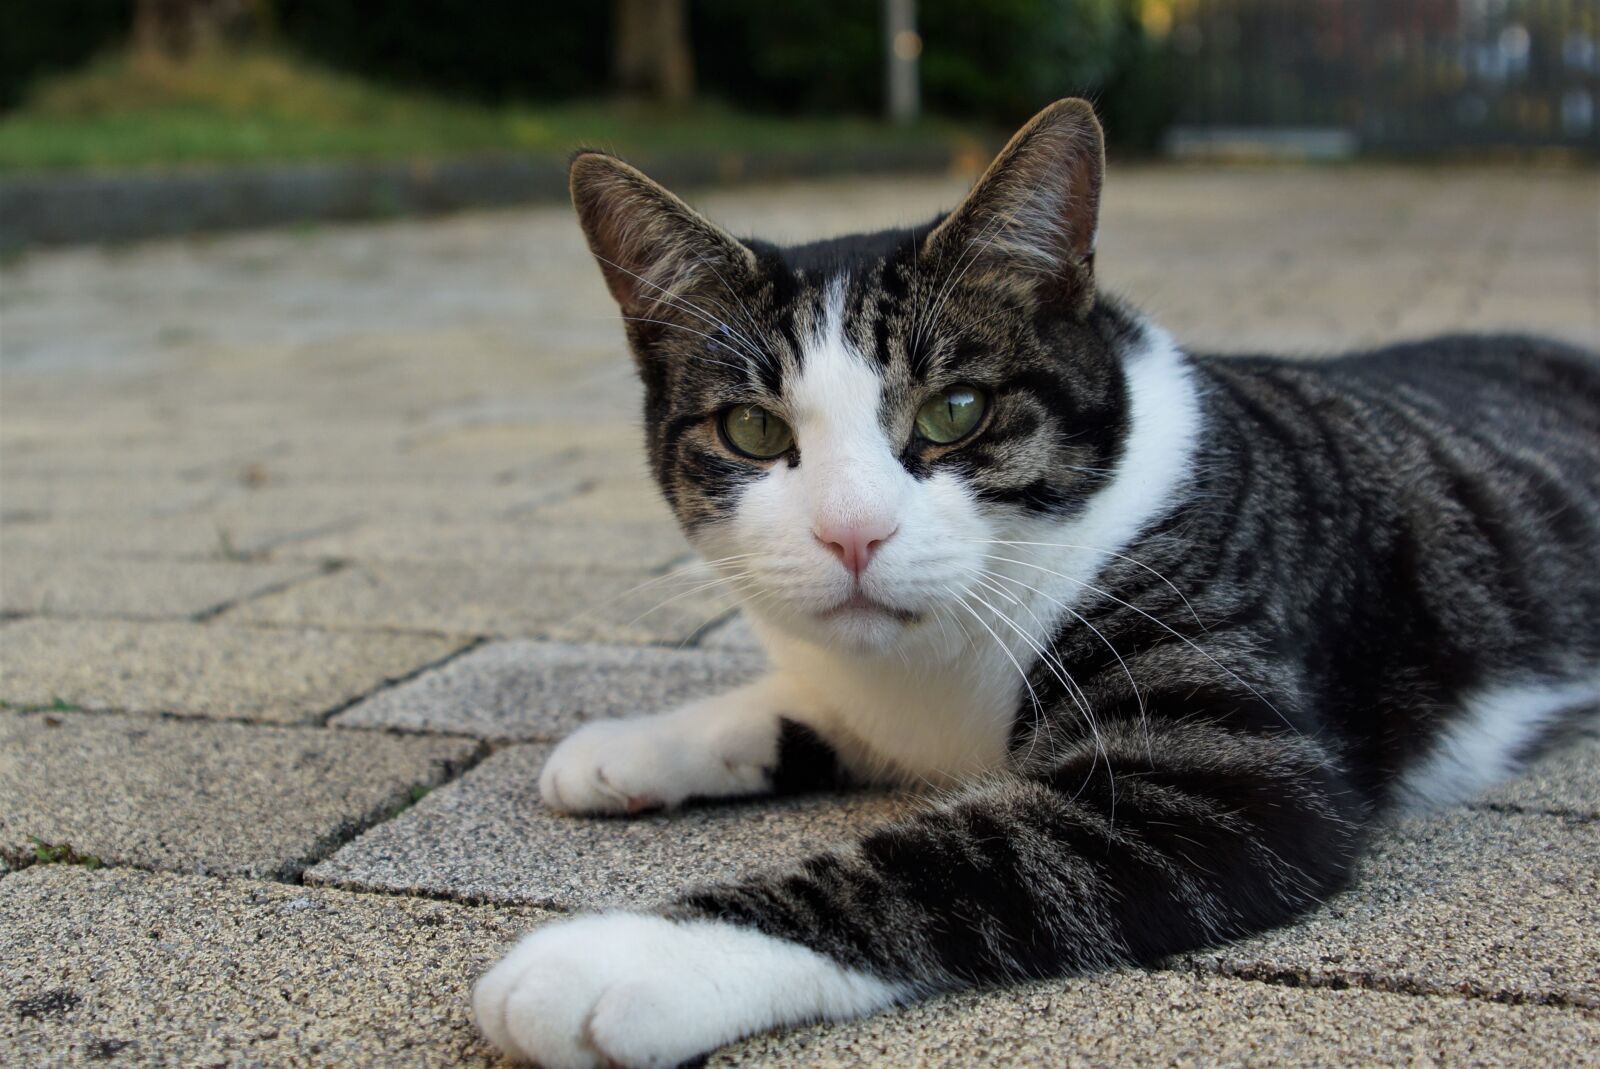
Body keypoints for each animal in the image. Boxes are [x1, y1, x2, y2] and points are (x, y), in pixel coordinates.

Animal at [470, 102, 1600, 1069]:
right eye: (751, 429)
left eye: (955, 410)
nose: (851, 532)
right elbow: (804, 705)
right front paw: (633, 743)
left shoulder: (1225, 778)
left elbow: (949, 864)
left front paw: (618, 960)